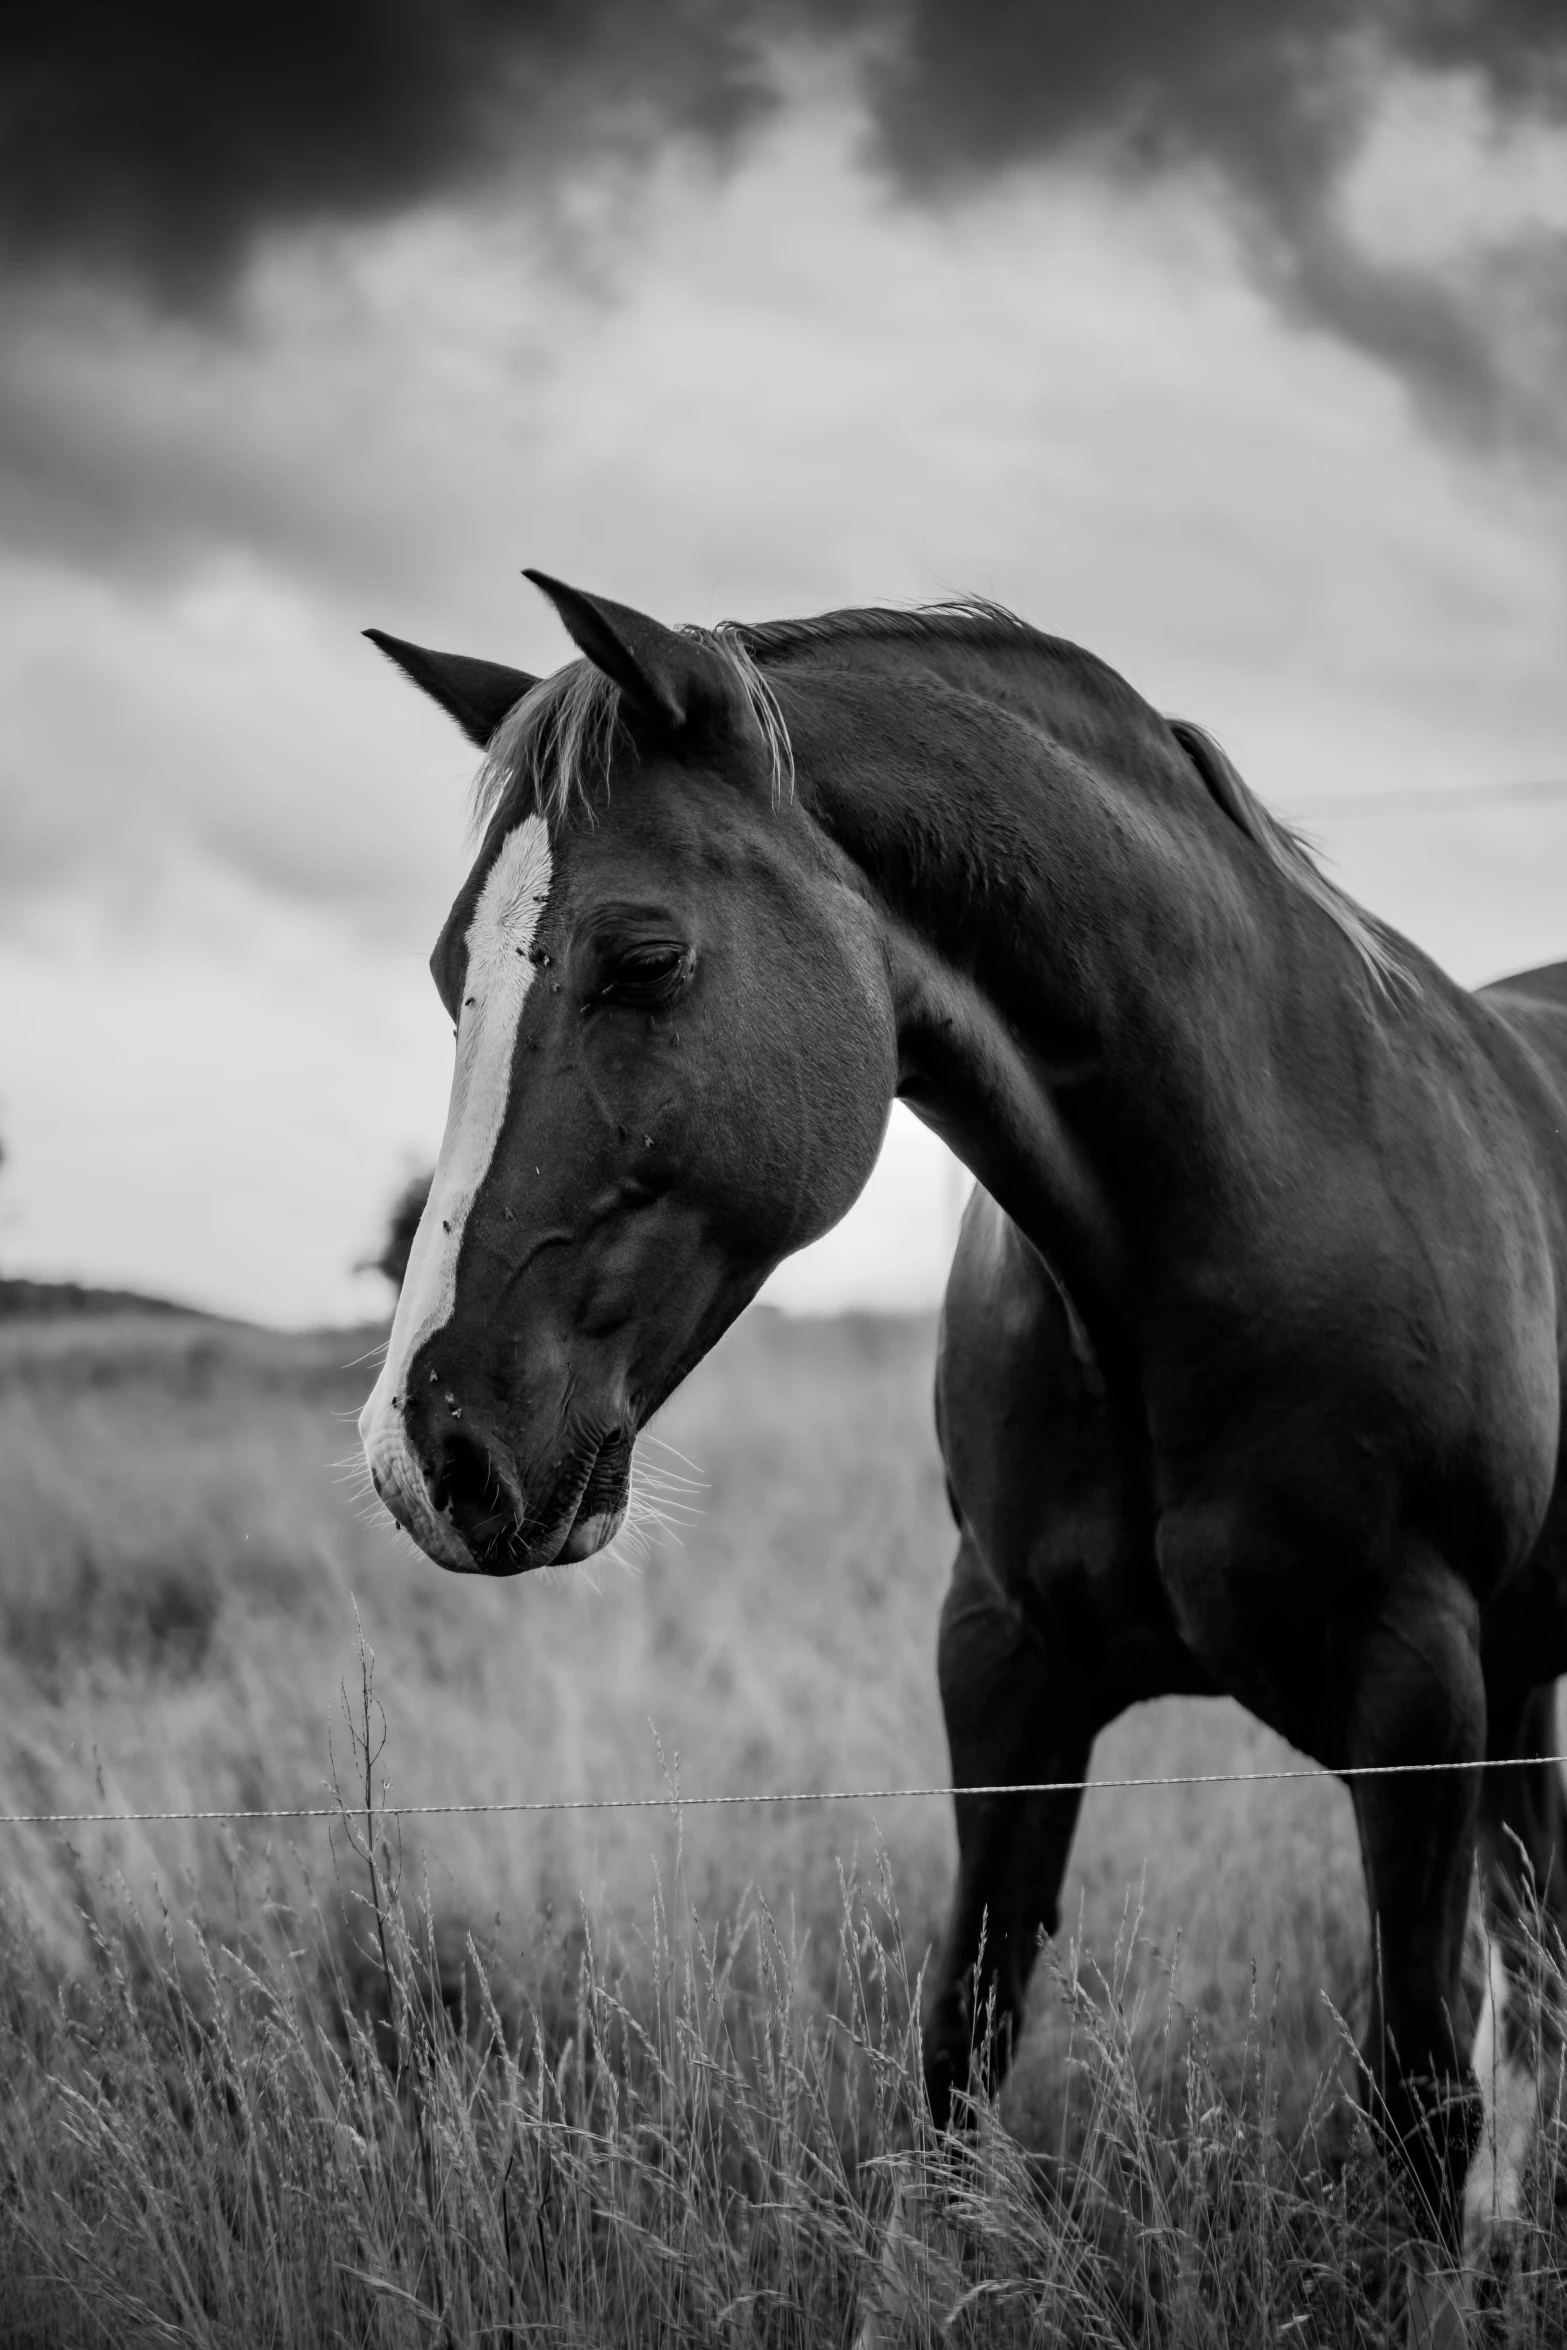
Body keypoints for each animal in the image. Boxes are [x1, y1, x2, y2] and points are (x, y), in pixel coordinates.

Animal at [359, 573, 1567, 2331]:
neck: (1218, 1203)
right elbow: (959, 2040)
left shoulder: (1414, 1690)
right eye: (456, 964)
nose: (426, 1448)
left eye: (641, 958)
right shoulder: (1003, 1659)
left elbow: (1419, 2089)